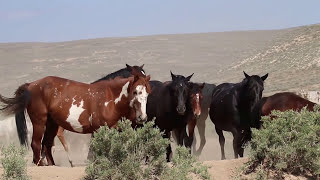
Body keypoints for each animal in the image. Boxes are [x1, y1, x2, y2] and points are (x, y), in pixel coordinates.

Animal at [0, 71, 151, 166]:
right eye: (135, 92)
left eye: (147, 93)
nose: (142, 117)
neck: (110, 98)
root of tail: (31, 85)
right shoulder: (98, 130)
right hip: (39, 122)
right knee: (36, 144)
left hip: (52, 124)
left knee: (46, 145)